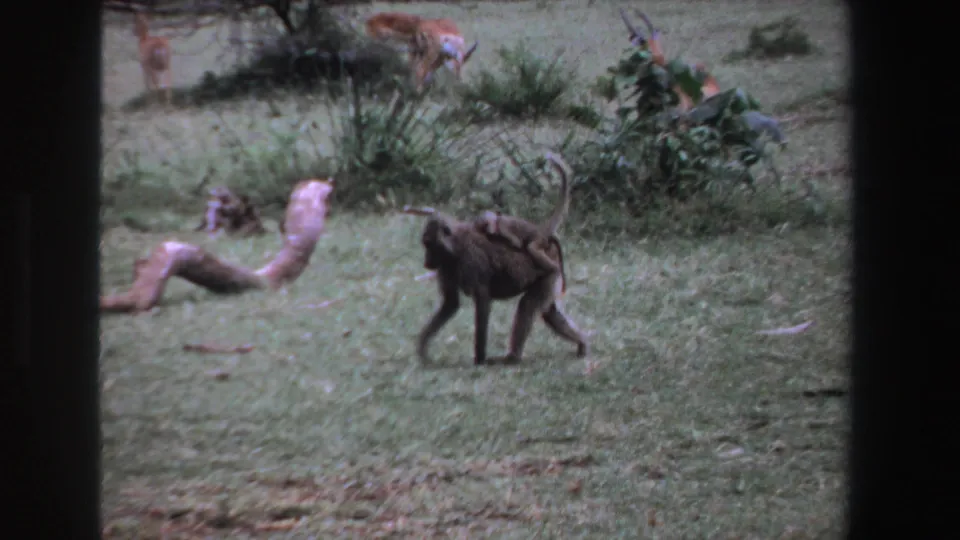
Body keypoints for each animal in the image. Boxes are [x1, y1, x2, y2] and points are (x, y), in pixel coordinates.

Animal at [415, 153, 588, 366]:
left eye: (428, 244)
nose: (426, 262)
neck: (455, 246)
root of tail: (542, 234)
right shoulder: (445, 267)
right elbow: (450, 303)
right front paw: (422, 349)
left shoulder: (470, 262)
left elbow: (482, 301)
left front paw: (480, 358)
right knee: (549, 312)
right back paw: (582, 343)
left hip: (547, 265)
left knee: (527, 306)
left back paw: (512, 357)